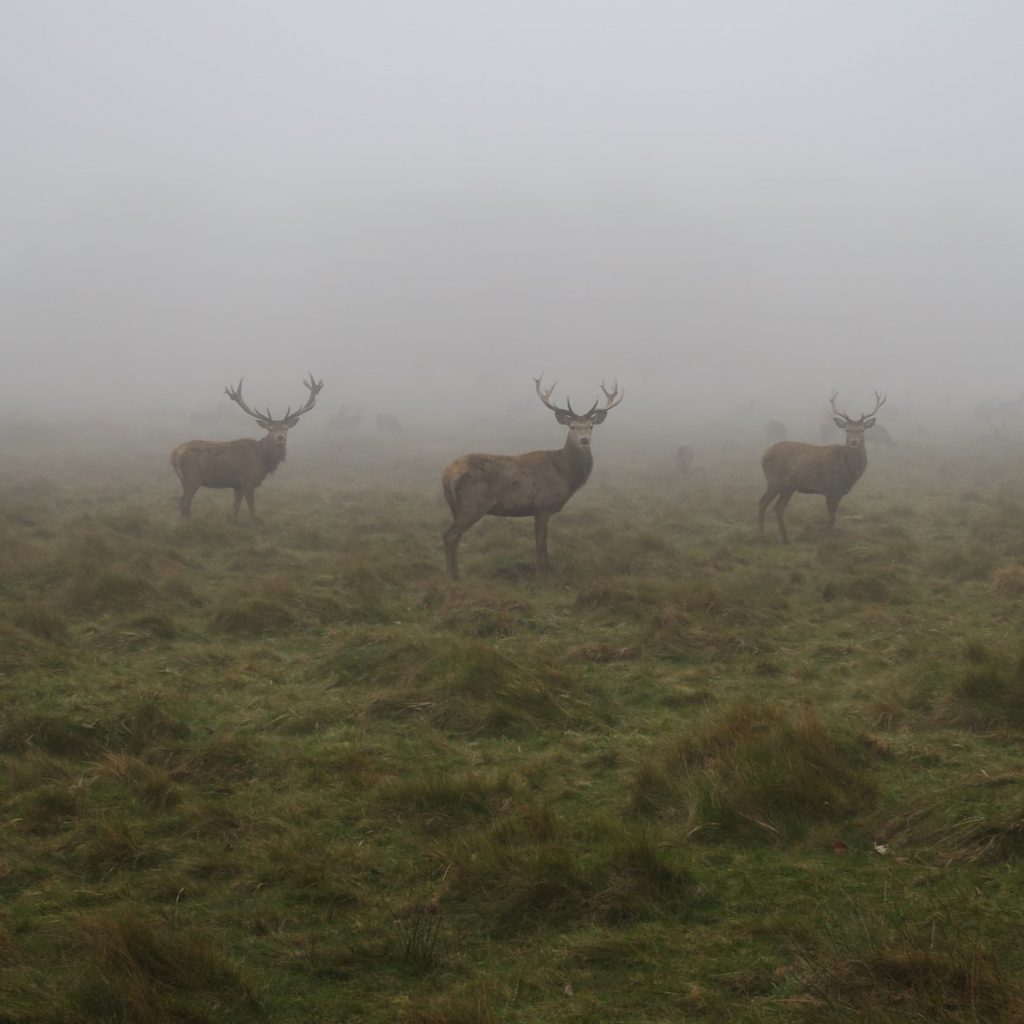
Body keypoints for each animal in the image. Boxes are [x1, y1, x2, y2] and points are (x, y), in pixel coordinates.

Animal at [171, 374, 323, 521]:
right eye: (270, 429)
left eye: (286, 429)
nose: (280, 437)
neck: (263, 460)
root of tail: (175, 453)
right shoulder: (248, 479)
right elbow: (251, 507)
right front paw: (255, 523)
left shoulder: (237, 484)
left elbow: (236, 507)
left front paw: (232, 522)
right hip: (192, 476)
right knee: (184, 502)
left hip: (184, 479)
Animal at [442, 376, 624, 580]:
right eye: (572, 426)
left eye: (591, 426)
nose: (584, 440)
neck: (565, 473)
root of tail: (448, 473)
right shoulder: (543, 504)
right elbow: (541, 541)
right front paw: (543, 574)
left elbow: (541, 540)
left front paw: (545, 570)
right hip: (472, 503)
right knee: (449, 535)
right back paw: (452, 577)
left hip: (455, 507)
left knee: (454, 537)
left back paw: (456, 574)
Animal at [758, 391, 885, 544]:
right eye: (847, 430)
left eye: (862, 430)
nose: (854, 442)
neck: (847, 470)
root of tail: (764, 455)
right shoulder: (831, 488)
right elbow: (830, 518)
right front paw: (829, 540)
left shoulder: (839, 492)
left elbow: (833, 517)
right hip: (775, 481)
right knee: (762, 502)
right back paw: (761, 535)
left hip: (789, 487)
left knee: (778, 507)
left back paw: (785, 539)